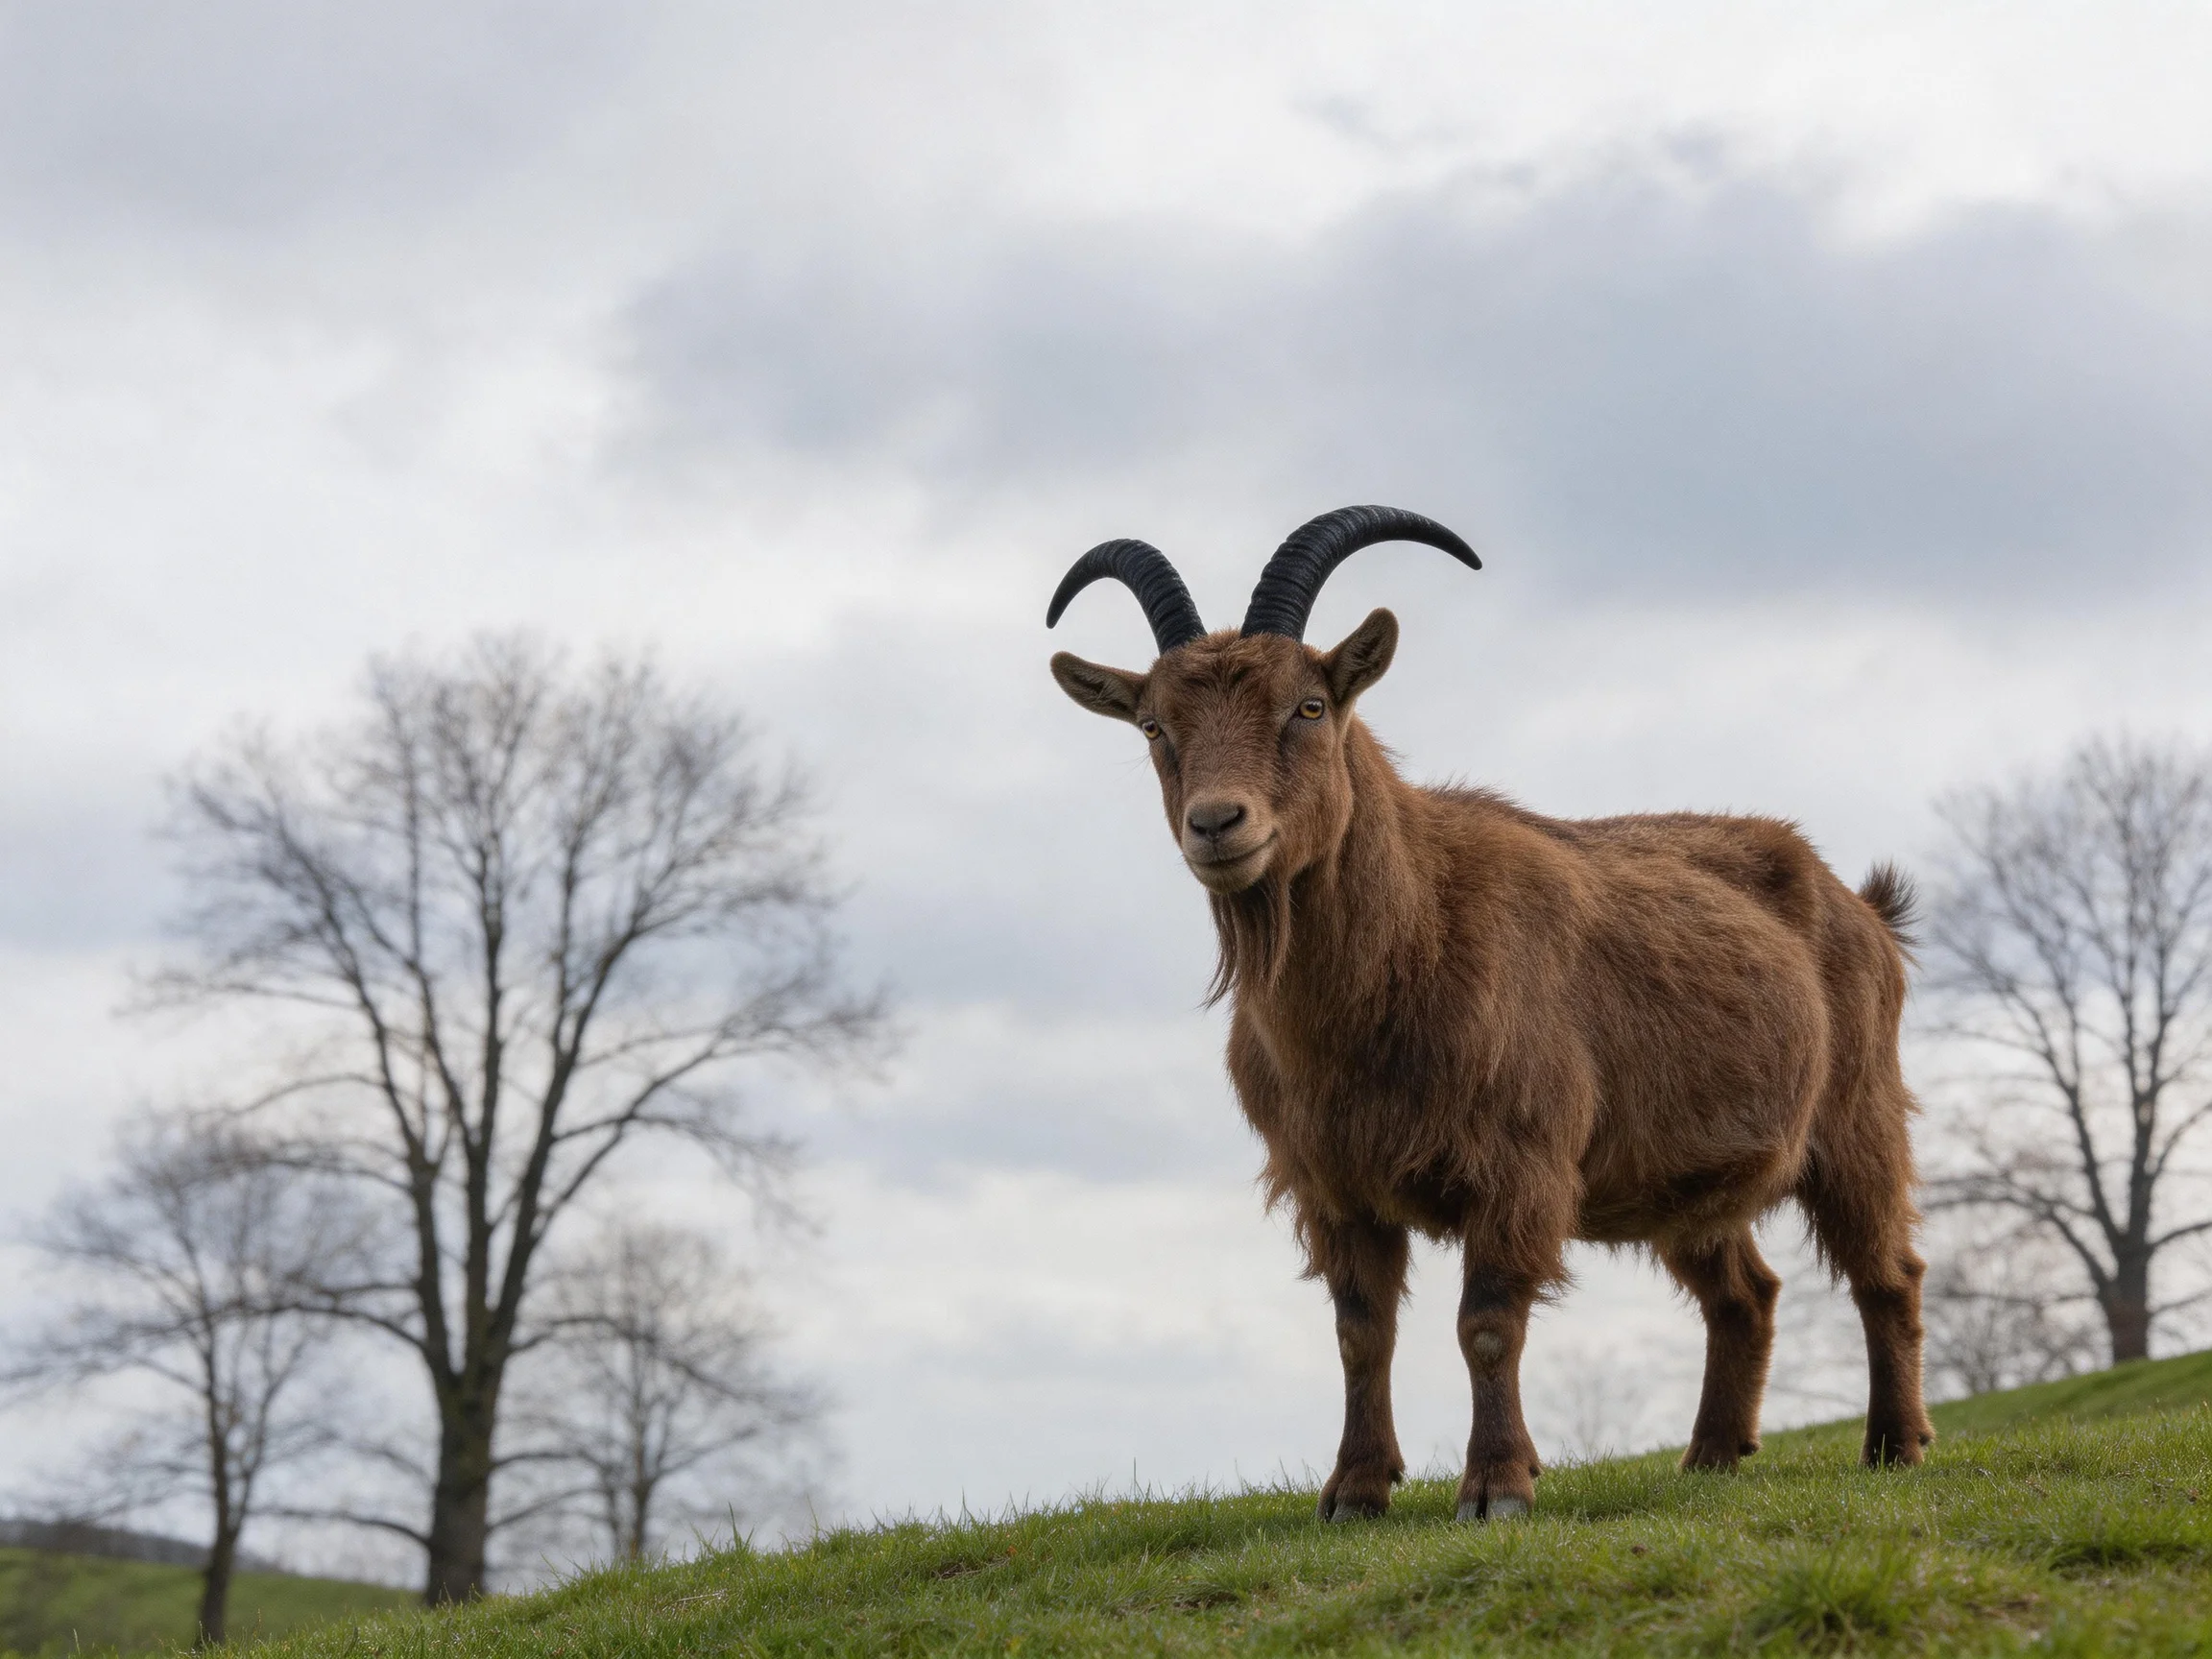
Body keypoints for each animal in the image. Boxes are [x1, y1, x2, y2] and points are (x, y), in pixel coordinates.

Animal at [1046, 506, 1932, 1522]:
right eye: (1155, 724)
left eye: (1308, 707)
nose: (1218, 825)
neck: (1405, 950)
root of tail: (1863, 906)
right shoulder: (1333, 1184)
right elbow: (1360, 1333)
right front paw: (1355, 1490)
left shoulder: (1519, 1161)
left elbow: (1488, 1324)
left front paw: (1497, 1485)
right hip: (1686, 1179)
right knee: (1746, 1291)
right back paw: (1711, 1455)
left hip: (1858, 1115)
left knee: (1887, 1273)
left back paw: (1895, 1444)